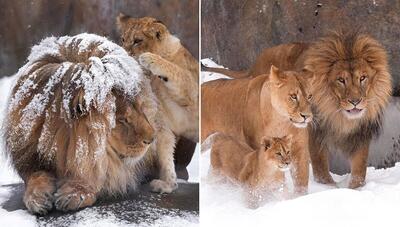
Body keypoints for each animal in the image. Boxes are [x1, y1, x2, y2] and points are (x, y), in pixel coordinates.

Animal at [4, 33, 161, 215]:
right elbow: (34, 175)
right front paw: (37, 197)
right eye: (122, 119)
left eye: (141, 108)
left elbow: (101, 170)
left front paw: (76, 193)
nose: (152, 139)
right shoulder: (28, 152)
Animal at [116, 13, 199, 192]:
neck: (151, 78)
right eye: (123, 39)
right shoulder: (161, 124)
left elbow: (177, 72)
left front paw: (149, 58)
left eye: (137, 40)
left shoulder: (193, 90)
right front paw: (168, 184)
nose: (124, 55)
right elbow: (165, 155)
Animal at [202, 65, 314, 193]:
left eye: (310, 96)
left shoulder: (300, 150)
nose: (307, 116)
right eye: (293, 96)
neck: (282, 122)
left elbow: (301, 181)